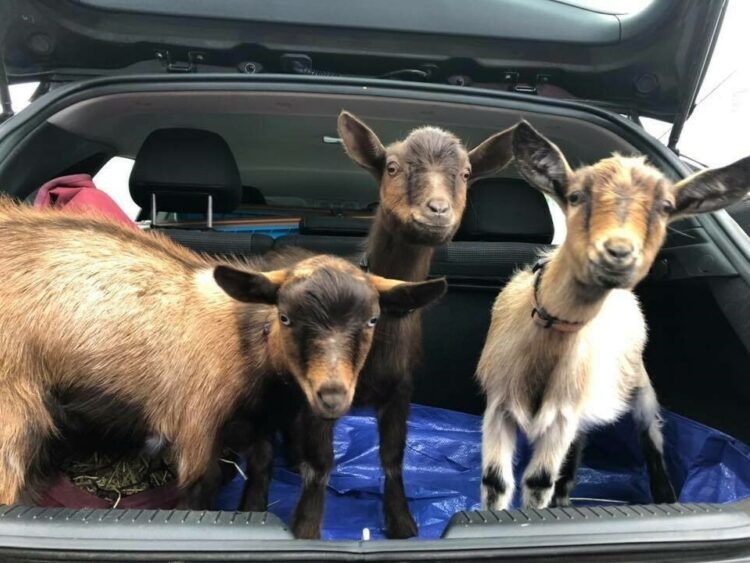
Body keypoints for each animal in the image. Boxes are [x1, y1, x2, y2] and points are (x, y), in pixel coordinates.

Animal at [0, 199, 445, 507]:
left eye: (372, 320)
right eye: (284, 317)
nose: (332, 394)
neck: (246, 344)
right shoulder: (197, 426)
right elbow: (202, 488)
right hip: (15, 410)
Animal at [477, 120, 750, 511]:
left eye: (666, 207)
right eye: (576, 196)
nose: (618, 253)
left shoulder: (563, 414)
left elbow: (538, 482)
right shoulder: (499, 403)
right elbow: (496, 483)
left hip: (639, 386)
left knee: (650, 435)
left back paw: (664, 496)